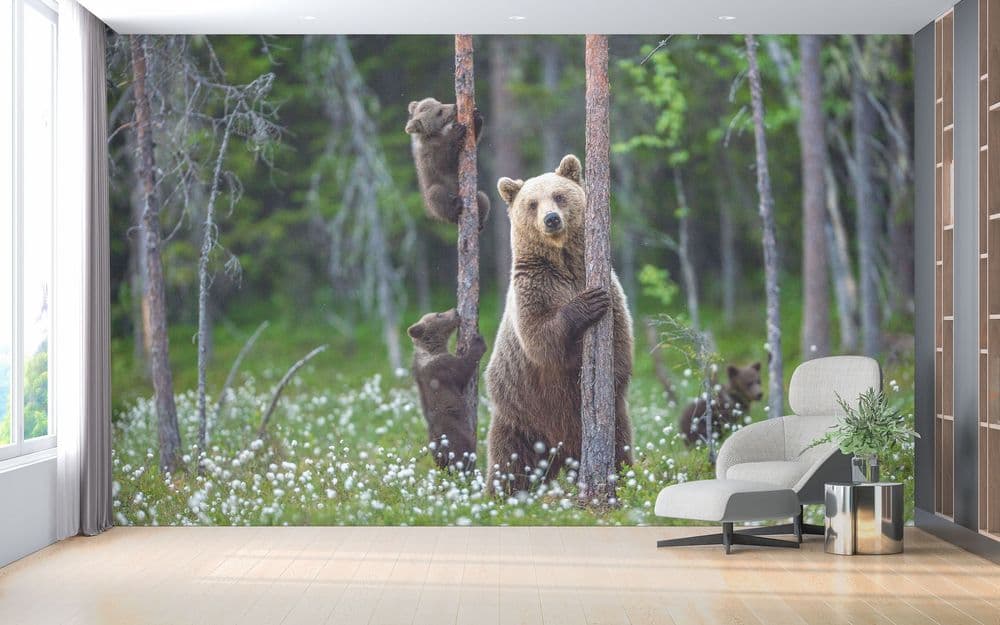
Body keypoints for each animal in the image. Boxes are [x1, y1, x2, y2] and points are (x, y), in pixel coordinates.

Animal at [405, 97, 490, 230]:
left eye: (439, 103)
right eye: (439, 112)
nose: (455, 106)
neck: (436, 134)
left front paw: (476, 117)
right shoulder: (429, 154)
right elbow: (443, 162)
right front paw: (457, 132)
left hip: (476, 197)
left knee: (483, 197)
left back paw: (480, 223)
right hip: (434, 199)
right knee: (436, 194)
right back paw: (455, 207)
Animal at [407, 308, 486, 471]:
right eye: (438, 314)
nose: (455, 311)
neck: (432, 350)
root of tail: (441, 451)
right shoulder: (442, 368)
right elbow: (462, 370)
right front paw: (478, 342)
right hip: (456, 434)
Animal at [484, 154, 634, 495]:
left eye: (559, 196)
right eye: (532, 203)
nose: (551, 219)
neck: (563, 262)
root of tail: (561, 451)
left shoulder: (609, 286)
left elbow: (620, 341)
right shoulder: (533, 287)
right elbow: (540, 338)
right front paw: (587, 304)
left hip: (610, 421)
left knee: (620, 445)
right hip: (520, 415)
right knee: (509, 463)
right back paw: (499, 496)